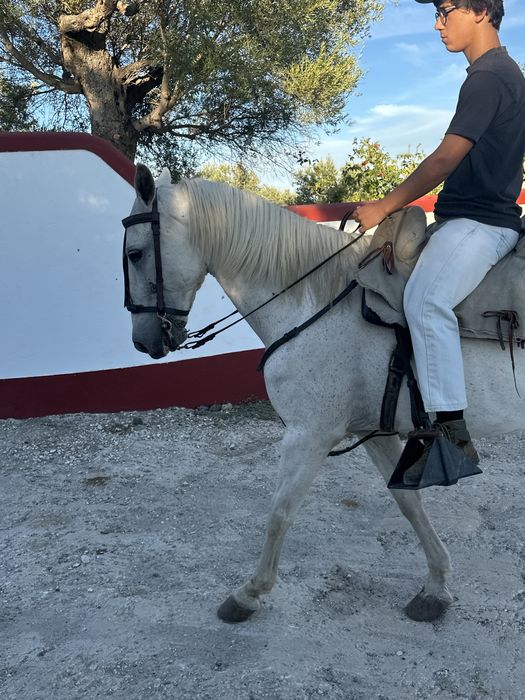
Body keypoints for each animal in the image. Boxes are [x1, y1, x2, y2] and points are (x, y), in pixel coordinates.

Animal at [123, 163, 525, 624]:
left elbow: (280, 511)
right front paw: (436, 586)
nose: (143, 342)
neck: (317, 301)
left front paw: (249, 594)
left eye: (135, 254)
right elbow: (408, 503)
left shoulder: (309, 434)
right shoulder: (374, 432)